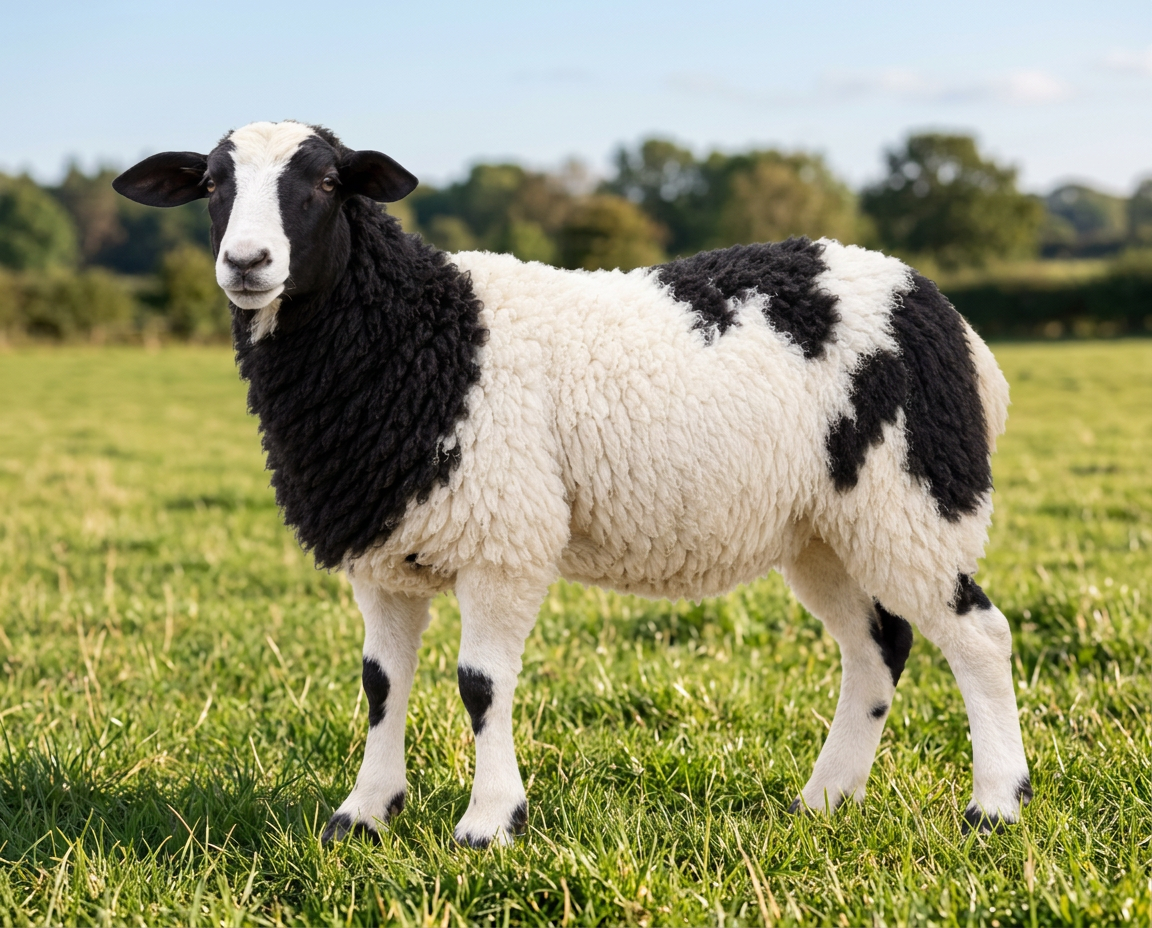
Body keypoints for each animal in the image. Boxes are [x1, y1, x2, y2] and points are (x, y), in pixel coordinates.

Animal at [113, 120, 1030, 848]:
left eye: (328, 183)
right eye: (211, 184)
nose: (248, 262)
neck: (421, 335)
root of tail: (953, 323)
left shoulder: (502, 538)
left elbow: (480, 686)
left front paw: (488, 824)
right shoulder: (382, 549)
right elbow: (380, 685)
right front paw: (364, 814)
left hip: (913, 494)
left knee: (979, 635)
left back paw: (994, 807)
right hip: (825, 527)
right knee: (877, 647)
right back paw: (826, 799)